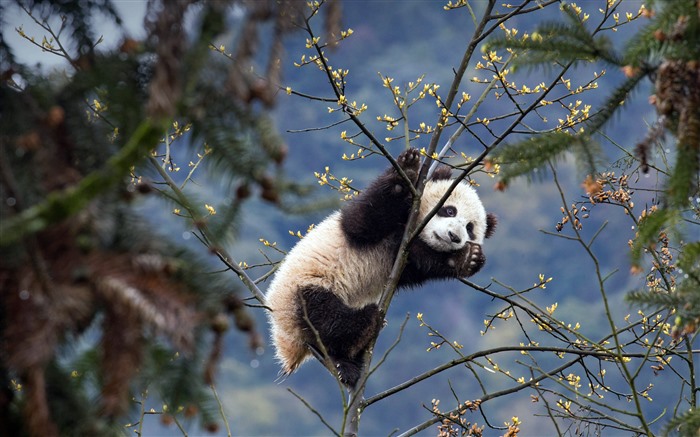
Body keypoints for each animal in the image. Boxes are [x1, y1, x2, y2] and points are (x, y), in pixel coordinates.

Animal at [266, 148, 494, 386]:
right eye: (450, 211)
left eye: (469, 228)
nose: (454, 236)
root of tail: (287, 343)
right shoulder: (366, 225)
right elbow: (364, 221)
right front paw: (408, 169)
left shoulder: (403, 256)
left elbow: (421, 263)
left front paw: (467, 258)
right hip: (303, 290)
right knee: (326, 317)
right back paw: (363, 330)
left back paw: (349, 361)